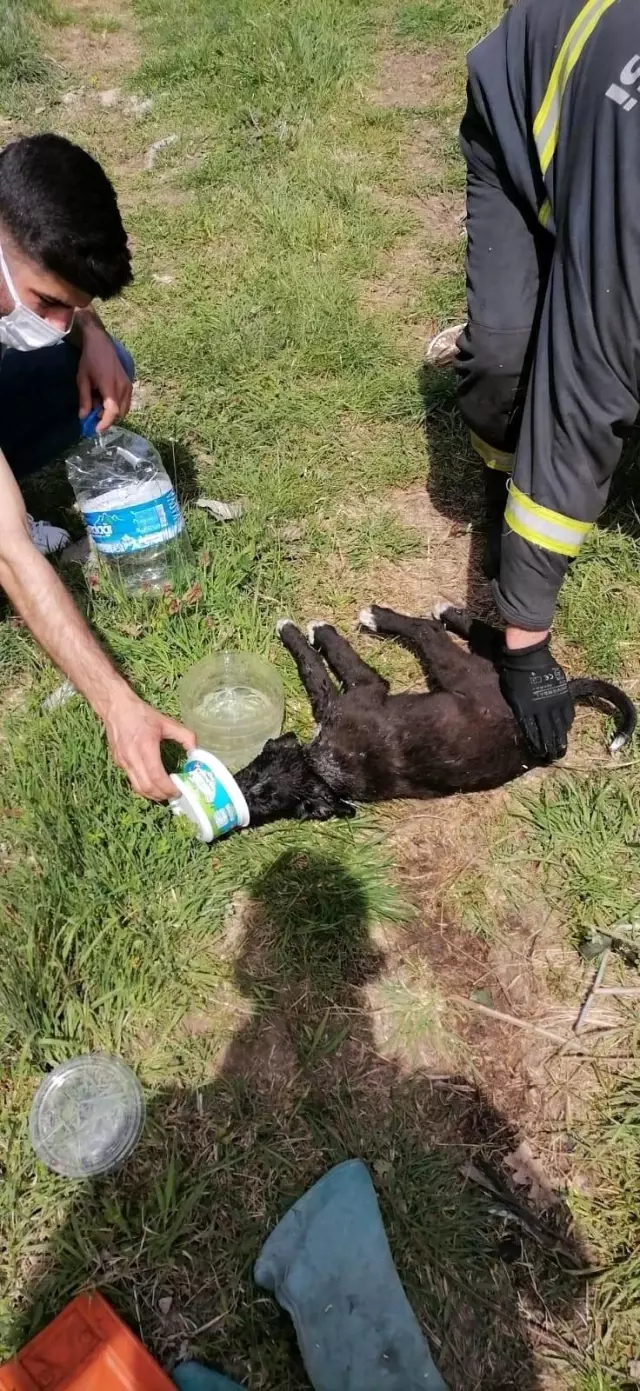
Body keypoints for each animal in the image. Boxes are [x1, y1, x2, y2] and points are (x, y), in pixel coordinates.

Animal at [235, 606, 634, 823]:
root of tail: (562, 696)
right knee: (497, 644)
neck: (324, 769)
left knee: (429, 630)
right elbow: (316, 674)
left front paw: (304, 630)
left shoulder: (366, 688)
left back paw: (385, 616)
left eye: (264, 794)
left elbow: (319, 665)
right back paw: (447, 613)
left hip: (461, 672)